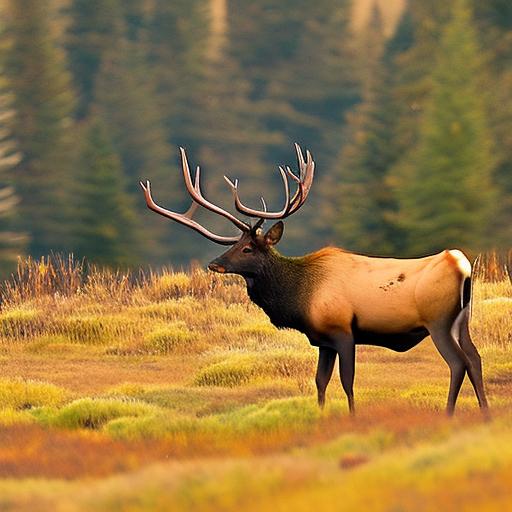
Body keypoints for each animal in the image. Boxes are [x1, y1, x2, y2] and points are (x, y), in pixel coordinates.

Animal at [139, 144, 488, 416]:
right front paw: (320, 415)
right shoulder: (323, 340)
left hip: (438, 321)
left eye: (248, 247)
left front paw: (352, 416)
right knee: (475, 358)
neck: (298, 297)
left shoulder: (343, 330)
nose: (215, 264)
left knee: (458, 363)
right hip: (462, 321)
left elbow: (347, 381)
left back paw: (449, 412)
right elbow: (320, 381)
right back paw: (484, 411)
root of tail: (461, 264)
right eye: (233, 245)